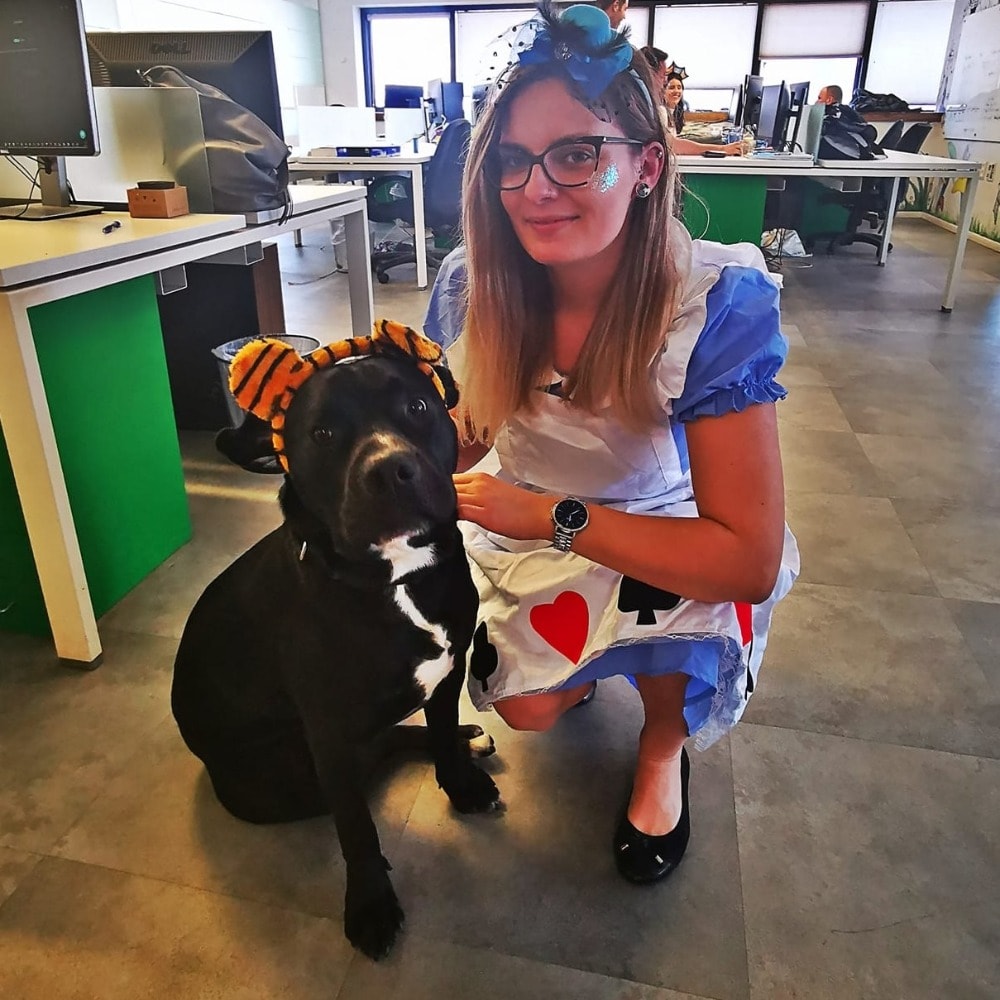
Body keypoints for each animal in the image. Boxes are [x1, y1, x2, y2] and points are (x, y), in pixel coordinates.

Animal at [171, 326, 501, 959]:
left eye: (417, 407)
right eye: (322, 434)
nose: (390, 470)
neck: (397, 576)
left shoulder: (448, 672)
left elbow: (440, 732)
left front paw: (458, 778)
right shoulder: (328, 731)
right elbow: (357, 828)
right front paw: (370, 905)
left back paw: (467, 740)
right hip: (288, 780)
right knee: (367, 760)